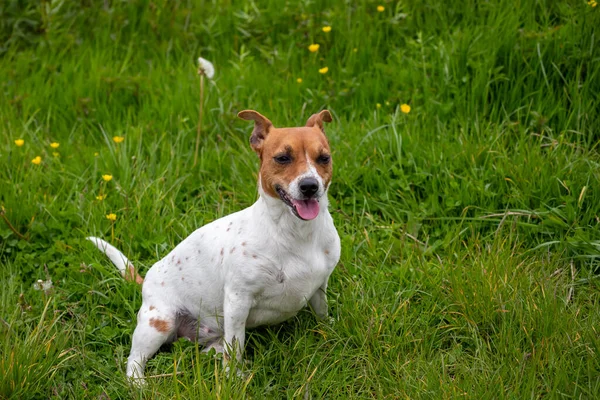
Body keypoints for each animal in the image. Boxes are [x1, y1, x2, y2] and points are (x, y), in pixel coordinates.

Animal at [89, 109, 342, 382]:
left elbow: (322, 315)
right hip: (158, 323)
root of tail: (146, 278)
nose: (310, 186)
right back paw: (139, 384)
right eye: (282, 158)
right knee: (134, 360)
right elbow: (236, 345)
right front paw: (233, 379)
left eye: (324, 158)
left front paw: (331, 334)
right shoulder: (237, 301)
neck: (295, 233)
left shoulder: (320, 288)